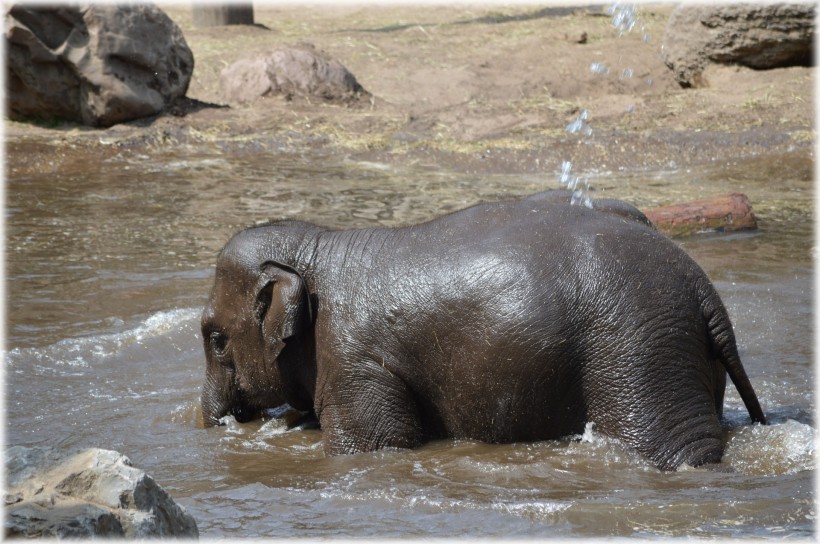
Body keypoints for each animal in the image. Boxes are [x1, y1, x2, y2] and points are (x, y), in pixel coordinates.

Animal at [202, 192, 764, 472]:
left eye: (214, 337)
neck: (319, 247)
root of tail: (703, 291)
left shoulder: (353, 362)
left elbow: (375, 446)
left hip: (640, 354)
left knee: (675, 452)